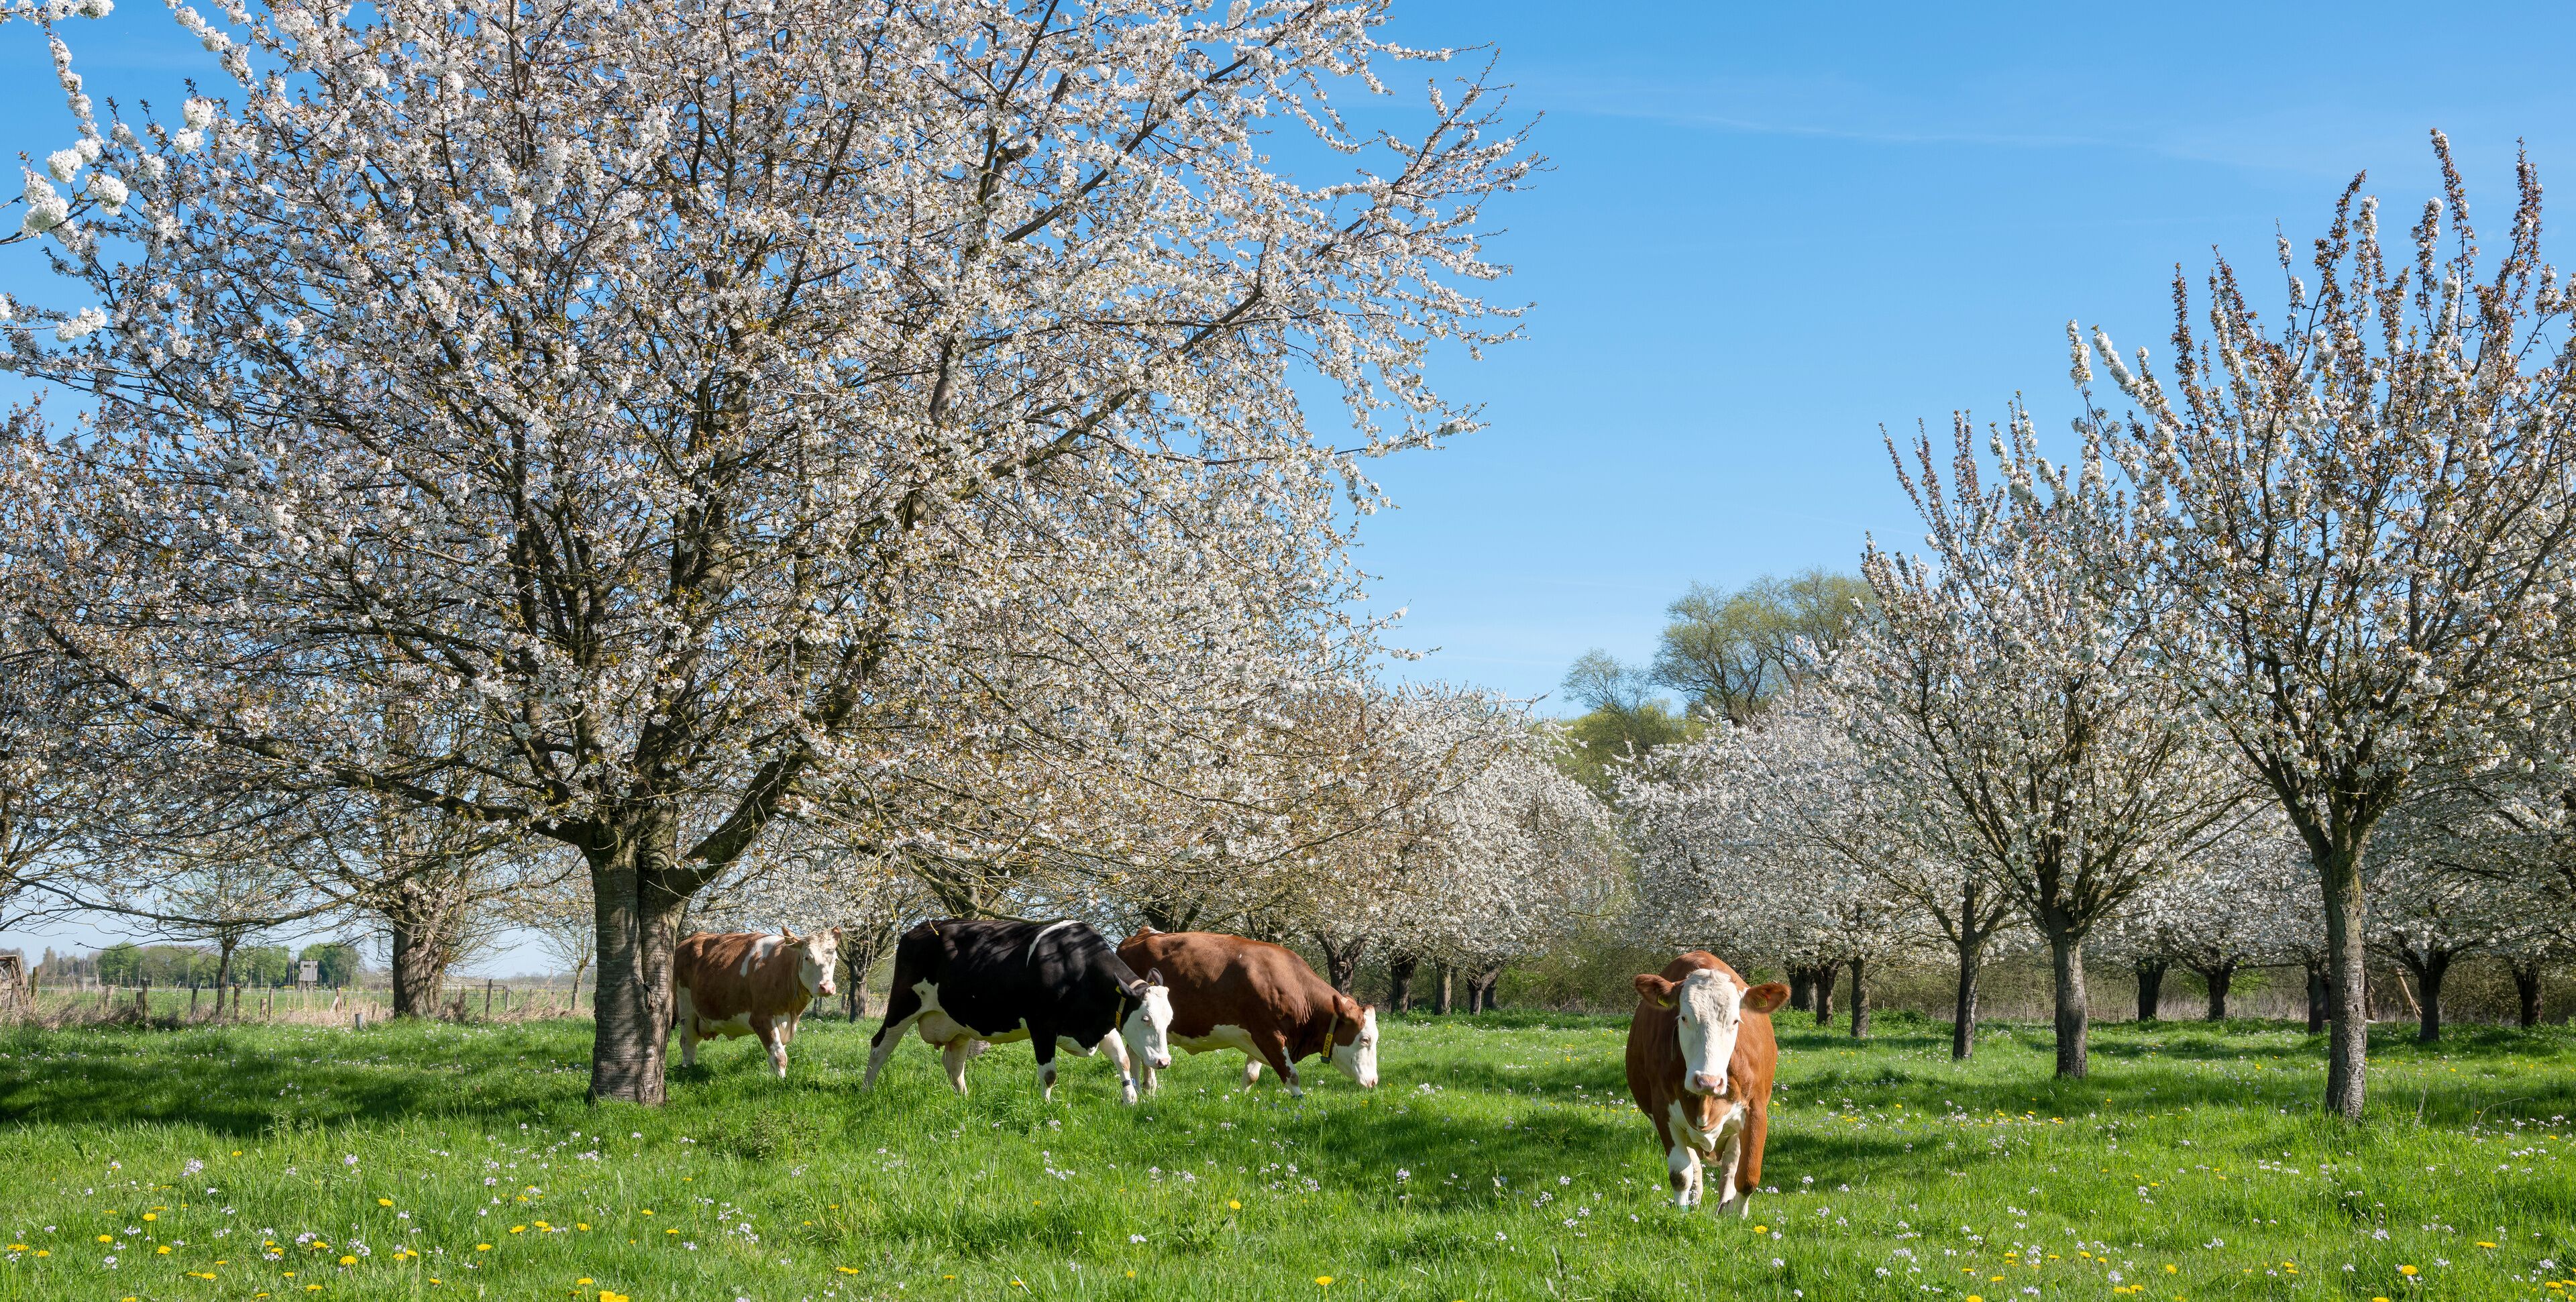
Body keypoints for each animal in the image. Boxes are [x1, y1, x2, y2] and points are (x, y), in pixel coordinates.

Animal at [671, 927, 841, 1080]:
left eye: (835, 959)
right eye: (807, 958)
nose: (827, 987)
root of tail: (688, 940)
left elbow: (776, 1055)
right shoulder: (762, 1019)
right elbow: (780, 1056)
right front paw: (781, 1083)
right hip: (686, 1010)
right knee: (687, 1044)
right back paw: (688, 1071)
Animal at [861, 918, 1174, 1105]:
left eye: (1169, 1019)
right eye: (1146, 1018)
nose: (1164, 1061)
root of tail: (918, 929)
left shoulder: (1102, 1024)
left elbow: (1123, 1060)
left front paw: (1130, 1099)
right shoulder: (1042, 1025)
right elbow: (1049, 1074)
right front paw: (1047, 1108)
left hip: (959, 1024)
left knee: (954, 1063)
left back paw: (964, 1100)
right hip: (902, 1005)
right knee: (879, 1047)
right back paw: (867, 1091)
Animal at [1115, 927, 1379, 1097]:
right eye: (1365, 1039)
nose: (1375, 1081)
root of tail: (1139, 934)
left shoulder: (1259, 1038)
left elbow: (1251, 1076)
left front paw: (1240, 1100)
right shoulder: (1269, 1035)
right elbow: (1292, 1076)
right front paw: (1300, 1106)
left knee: (1143, 1054)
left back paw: (1147, 1089)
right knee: (1137, 1056)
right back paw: (1142, 1089)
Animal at [1625, 952, 1789, 1215]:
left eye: (1736, 1021)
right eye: (1683, 1017)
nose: (1707, 1081)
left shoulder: (1756, 1108)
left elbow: (1748, 1176)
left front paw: (1736, 1216)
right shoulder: (1662, 1112)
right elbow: (1680, 1174)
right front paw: (1682, 1213)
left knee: (1731, 1165)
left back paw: (1726, 1205)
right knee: (1694, 1165)